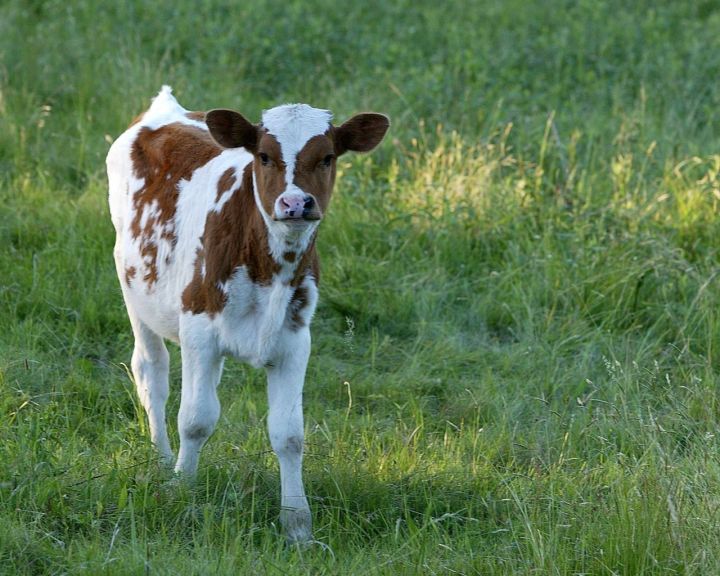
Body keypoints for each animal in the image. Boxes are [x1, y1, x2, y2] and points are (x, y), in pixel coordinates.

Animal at [105, 86, 388, 544]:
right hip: (132, 289)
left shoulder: (295, 341)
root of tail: (166, 106)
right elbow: (195, 419)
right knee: (152, 373)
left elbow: (289, 434)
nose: (295, 203)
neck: (268, 267)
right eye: (265, 156)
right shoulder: (199, 330)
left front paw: (297, 525)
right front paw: (183, 490)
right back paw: (161, 459)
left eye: (328, 157)